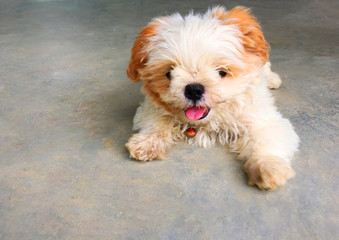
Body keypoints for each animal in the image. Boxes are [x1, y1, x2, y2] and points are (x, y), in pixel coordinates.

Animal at [125, 6, 300, 190]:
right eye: (169, 73)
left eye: (222, 72)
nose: (194, 90)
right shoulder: (151, 105)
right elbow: (157, 120)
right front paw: (148, 142)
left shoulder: (261, 116)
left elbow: (266, 137)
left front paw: (268, 166)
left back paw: (273, 79)